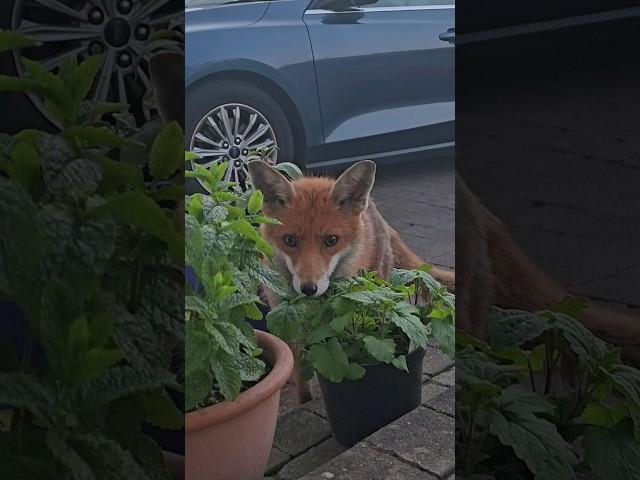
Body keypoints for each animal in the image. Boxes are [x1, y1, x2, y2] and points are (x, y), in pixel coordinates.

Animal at [246, 159, 456, 404]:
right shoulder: (286, 321)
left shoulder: (336, 318)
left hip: (377, 289)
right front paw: (304, 401)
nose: (309, 288)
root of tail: (374, 209)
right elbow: (301, 380)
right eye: (289, 240)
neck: (310, 305)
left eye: (331, 240)